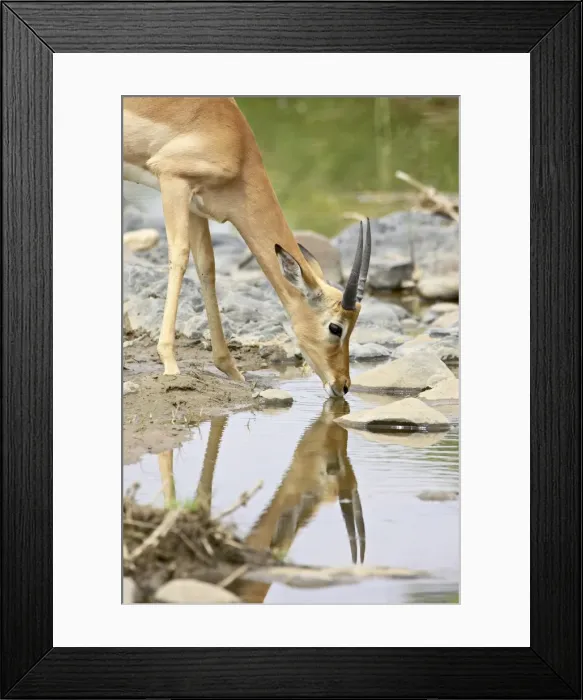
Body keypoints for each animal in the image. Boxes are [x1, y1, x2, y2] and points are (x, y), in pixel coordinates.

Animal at [123, 97, 371, 397]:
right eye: (336, 327)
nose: (343, 385)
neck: (235, 144)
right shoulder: (173, 180)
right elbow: (179, 256)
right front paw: (170, 364)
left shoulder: (197, 205)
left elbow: (207, 266)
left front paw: (231, 370)